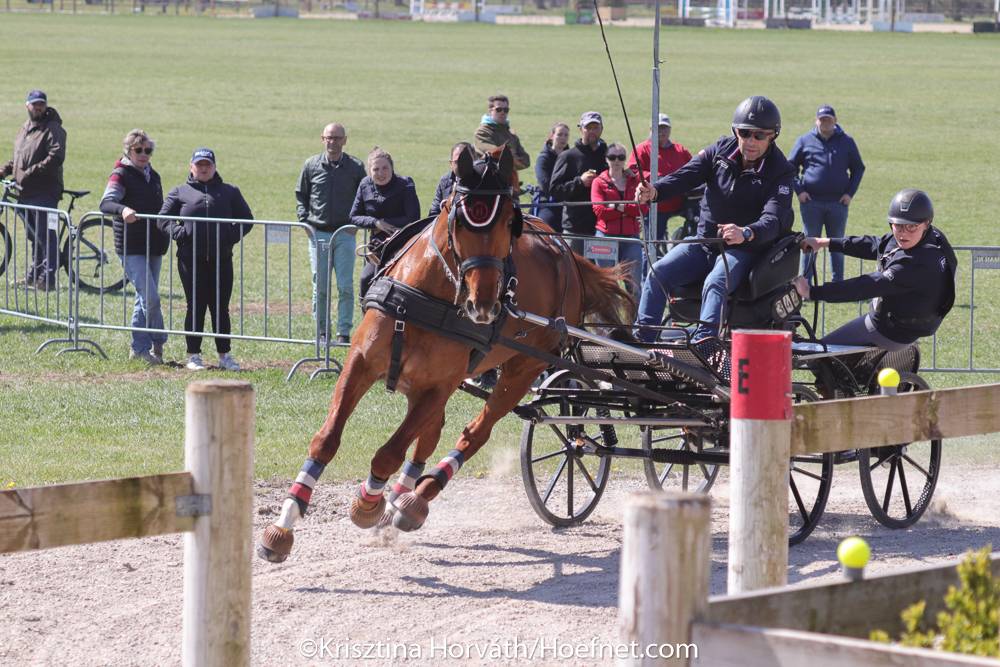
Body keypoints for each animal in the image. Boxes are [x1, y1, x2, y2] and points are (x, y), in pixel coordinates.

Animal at [258, 145, 633, 563]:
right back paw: (399, 505)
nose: (483, 304)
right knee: (430, 436)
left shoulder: (441, 385)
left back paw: (415, 501)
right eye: (462, 221)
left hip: (522, 368)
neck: (427, 300)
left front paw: (368, 505)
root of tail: (565, 250)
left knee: (474, 433)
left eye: (509, 222)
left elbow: (388, 453)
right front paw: (283, 525)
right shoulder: (362, 365)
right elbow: (326, 439)